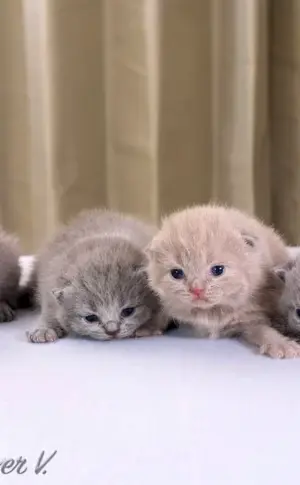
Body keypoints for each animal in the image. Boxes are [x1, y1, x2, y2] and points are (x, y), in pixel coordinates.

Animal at [26, 210, 168, 342]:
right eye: (91, 318)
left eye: (128, 311)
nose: (112, 331)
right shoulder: (48, 285)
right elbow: (49, 311)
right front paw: (44, 329)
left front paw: (149, 327)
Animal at [146, 202, 300, 358]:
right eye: (176, 273)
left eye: (218, 270)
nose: (197, 290)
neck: (211, 312)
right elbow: (162, 313)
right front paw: (150, 327)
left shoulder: (252, 315)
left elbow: (263, 330)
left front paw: (281, 344)